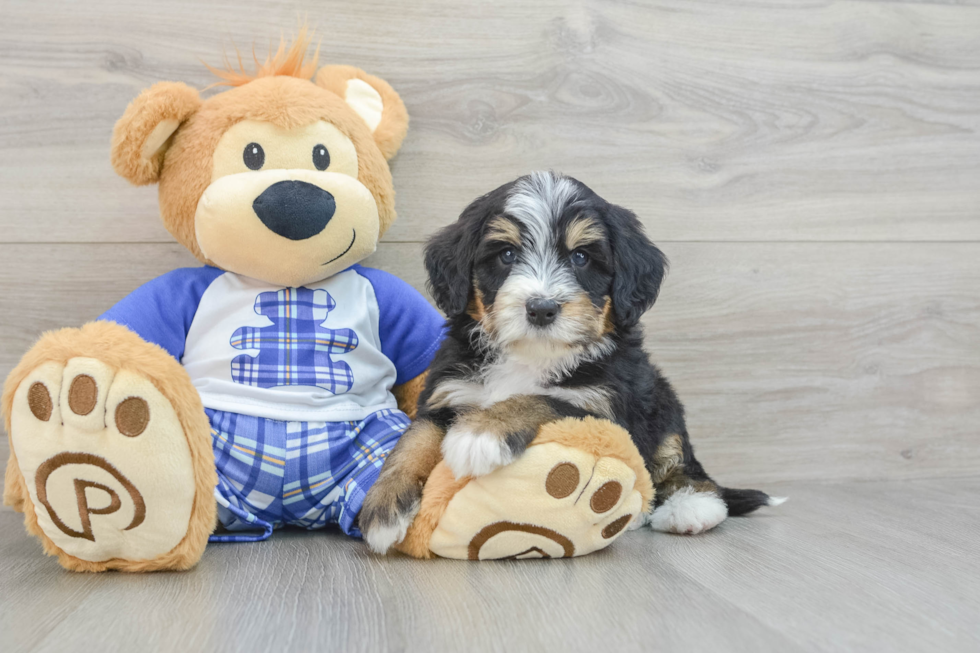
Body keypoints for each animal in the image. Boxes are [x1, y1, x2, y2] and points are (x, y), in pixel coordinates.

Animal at [360, 172, 780, 552]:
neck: (531, 355)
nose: (541, 308)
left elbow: (540, 399)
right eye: (507, 254)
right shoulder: (448, 391)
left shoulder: (601, 404)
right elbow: (415, 438)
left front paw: (480, 434)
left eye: (581, 257)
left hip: (662, 401)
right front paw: (383, 506)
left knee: (682, 464)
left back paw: (691, 508)